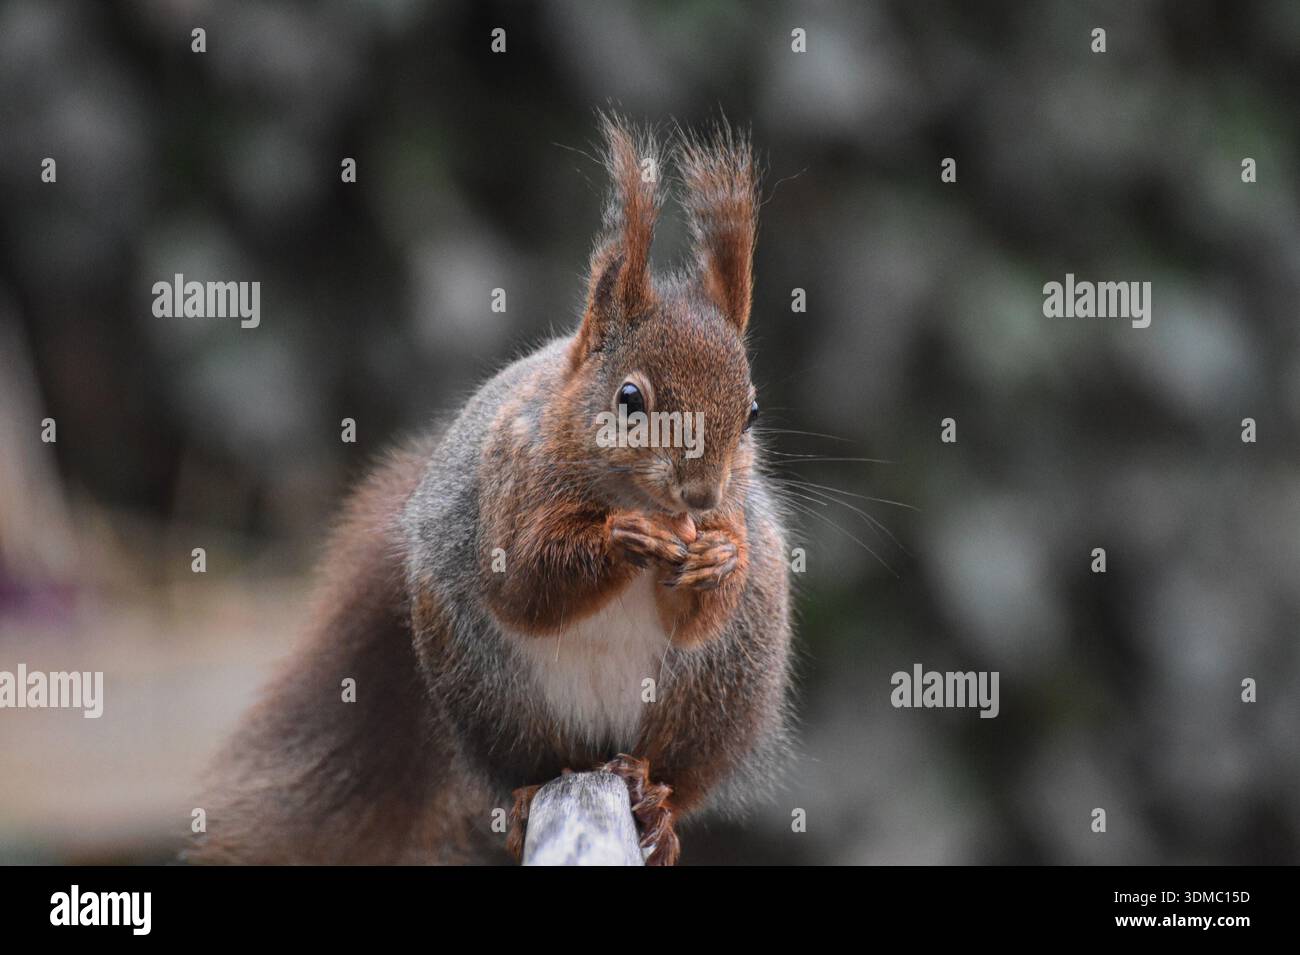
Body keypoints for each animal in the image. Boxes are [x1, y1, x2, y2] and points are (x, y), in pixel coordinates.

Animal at [188, 116, 794, 865]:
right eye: (630, 399)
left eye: (753, 412)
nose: (702, 497)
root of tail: (601, 753)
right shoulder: (509, 481)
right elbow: (527, 584)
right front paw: (622, 537)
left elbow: (697, 615)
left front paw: (718, 559)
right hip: (492, 693)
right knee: (533, 761)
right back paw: (538, 790)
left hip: (718, 692)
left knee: (677, 771)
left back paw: (657, 803)